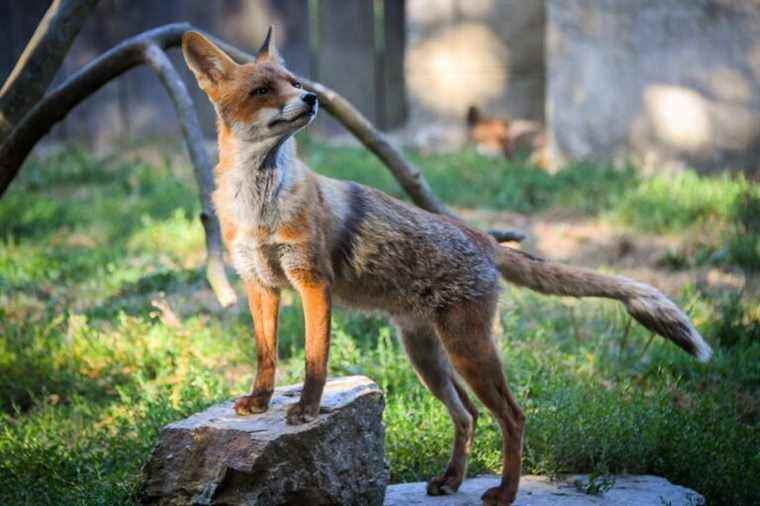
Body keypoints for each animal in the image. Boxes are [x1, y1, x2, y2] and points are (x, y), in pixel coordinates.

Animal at [183, 28, 712, 506]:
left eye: (293, 82)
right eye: (262, 90)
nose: (312, 98)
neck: (258, 205)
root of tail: (484, 238)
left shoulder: (313, 282)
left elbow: (315, 359)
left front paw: (307, 410)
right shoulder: (260, 283)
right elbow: (266, 355)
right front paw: (260, 401)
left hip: (466, 349)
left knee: (513, 416)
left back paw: (504, 493)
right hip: (427, 356)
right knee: (469, 415)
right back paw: (452, 481)